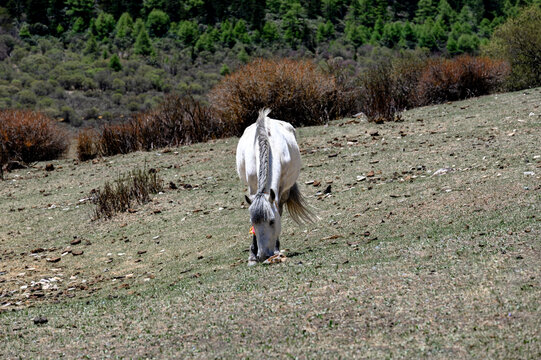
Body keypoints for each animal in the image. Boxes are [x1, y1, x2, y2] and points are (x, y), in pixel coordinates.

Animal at [235, 108, 312, 262]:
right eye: (253, 222)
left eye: (271, 221)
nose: (263, 255)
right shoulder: (252, 187)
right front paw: (252, 256)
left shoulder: (280, 189)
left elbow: (278, 210)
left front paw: (276, 249)